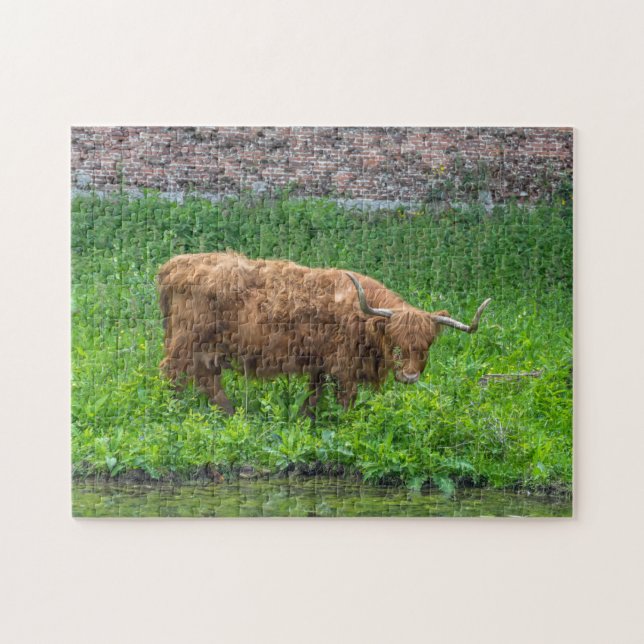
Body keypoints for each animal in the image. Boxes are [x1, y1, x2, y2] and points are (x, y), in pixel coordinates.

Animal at [157, 251, 490, 415]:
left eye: (426, 344)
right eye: (396, 343)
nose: (409, 376)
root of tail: (174, 265)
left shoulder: (320, 363)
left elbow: (313, 396)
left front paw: (305, 419)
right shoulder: (344, 366)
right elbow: (346, 400)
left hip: (205, 347)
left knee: (206, 379)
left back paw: (230, 413)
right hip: (187, 341)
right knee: (174, 373)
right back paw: (175, 410)